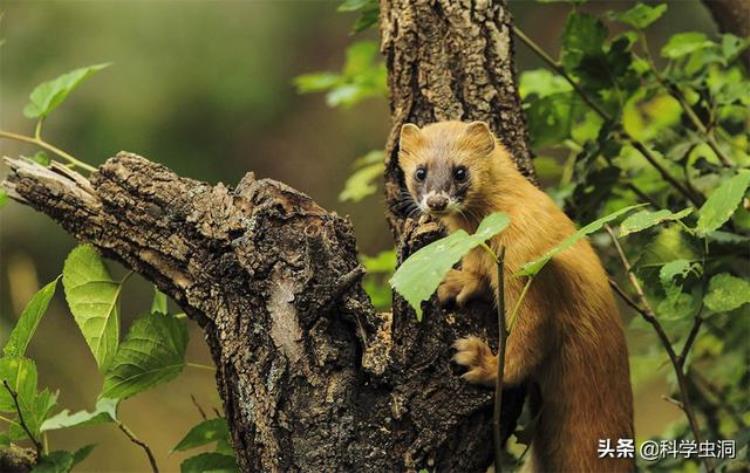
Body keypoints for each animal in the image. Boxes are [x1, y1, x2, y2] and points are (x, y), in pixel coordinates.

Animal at [400, 121, 636, 472]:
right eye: (419, 171)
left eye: (460, 171)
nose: (437, 201)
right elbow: (477, 274)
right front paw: (455, 283)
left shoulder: (528, 266)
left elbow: (526, 341)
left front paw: (481, 361)